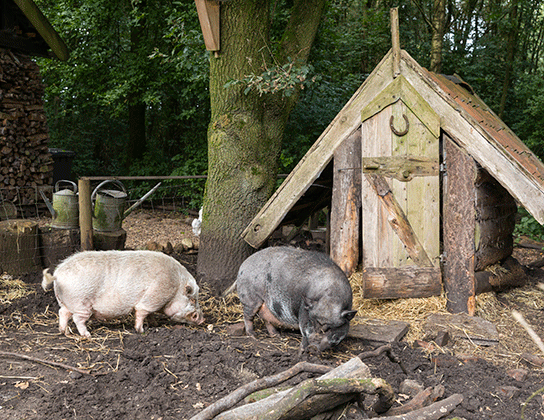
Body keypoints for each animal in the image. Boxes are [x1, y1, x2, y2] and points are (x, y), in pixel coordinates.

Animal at [42, 249, 204, 338]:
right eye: (192, 300)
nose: (202, 320)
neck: (176, 286)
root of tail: (58, 275)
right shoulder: (154, 296)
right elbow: (141, 312)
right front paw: (140, 330)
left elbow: (150, 315)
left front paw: (155, 324)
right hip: (81, 303)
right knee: (77, 319)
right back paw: (87, 335)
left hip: (67, 302)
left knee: (62, 313)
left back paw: (65, 333)